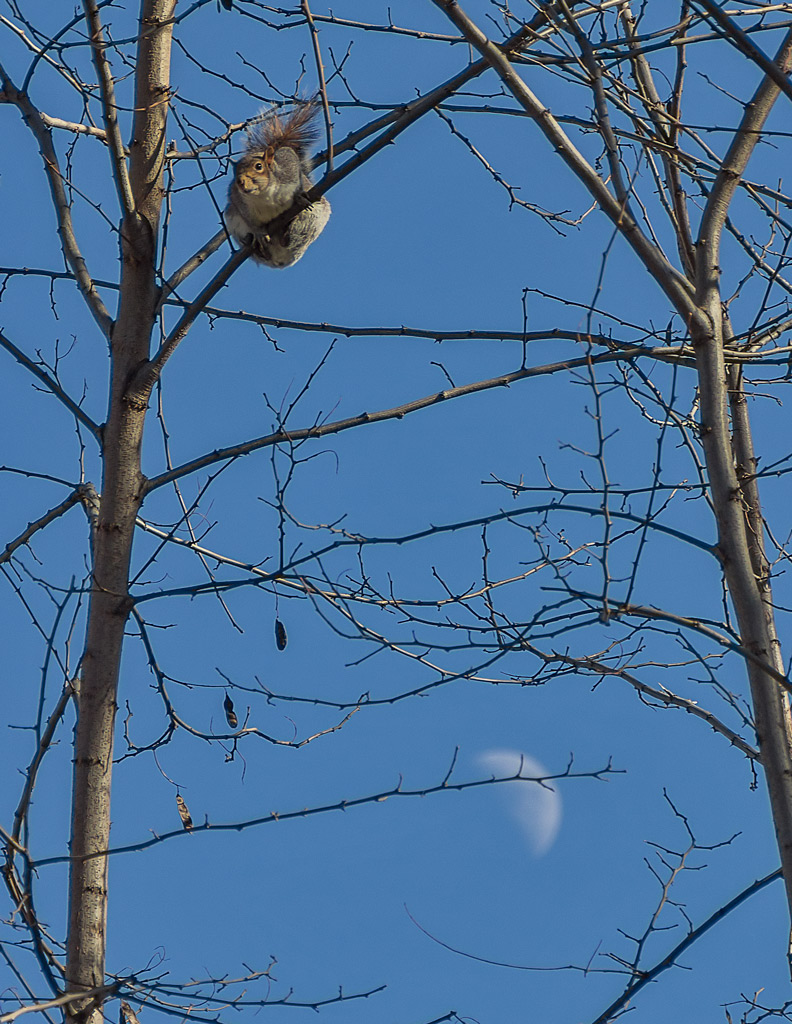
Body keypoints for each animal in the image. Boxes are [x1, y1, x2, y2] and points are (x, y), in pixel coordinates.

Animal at [224, 101, 331, 269]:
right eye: (234, 173)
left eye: (259, 166)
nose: (240, 182)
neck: (264, 194)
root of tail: (281, 260)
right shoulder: (237, 200)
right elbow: (249, 219)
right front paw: (258, 233)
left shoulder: (289, 167)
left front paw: (299, 196)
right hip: (233, 222)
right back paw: (257, 247)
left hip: (316, 219)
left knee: (299, 233)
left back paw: (289, 232)